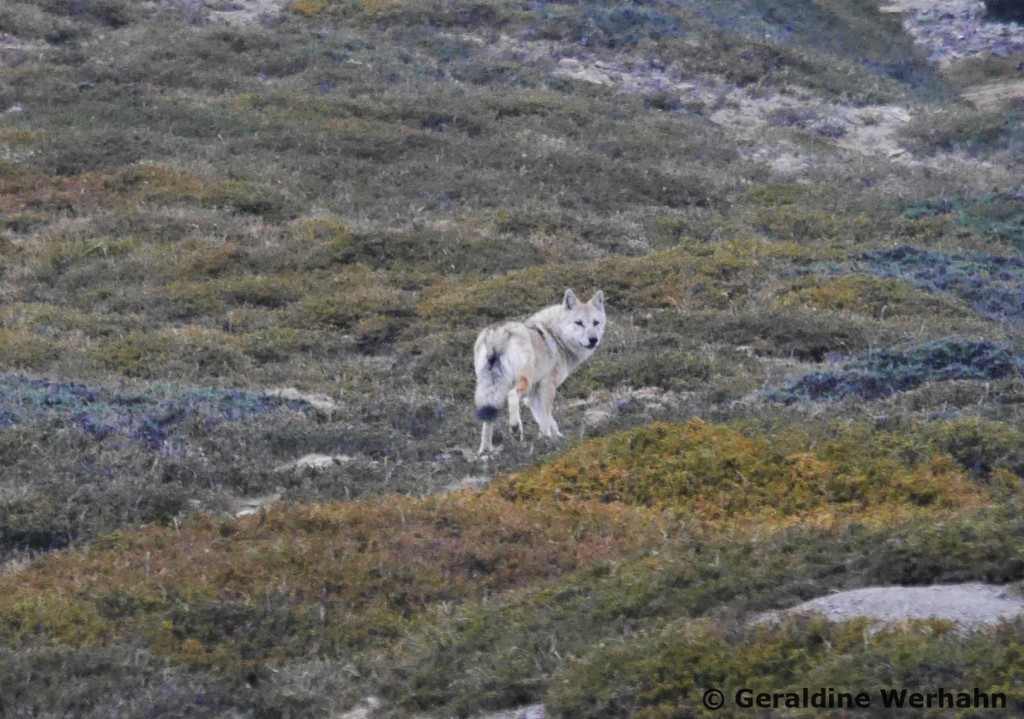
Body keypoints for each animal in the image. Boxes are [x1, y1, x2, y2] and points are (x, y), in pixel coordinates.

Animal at [473, 289, 606, 454]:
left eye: (595, 322)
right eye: (579, 323)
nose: (593, 339)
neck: (557, 338)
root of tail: (499, 334)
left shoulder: (532, 396)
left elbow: (546, 419)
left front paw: (555, 437)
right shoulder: (548, 386)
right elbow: (546, 416)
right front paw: (547, 439)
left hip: (492, 390)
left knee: (487, 419)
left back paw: (485, 451)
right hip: (524, 382)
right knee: (512, 395)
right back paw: (516, 429)